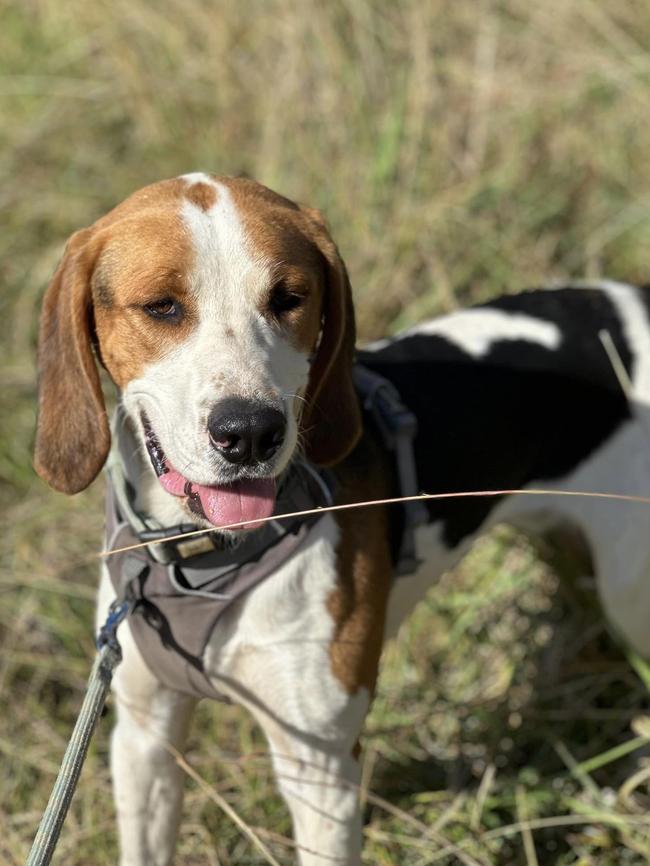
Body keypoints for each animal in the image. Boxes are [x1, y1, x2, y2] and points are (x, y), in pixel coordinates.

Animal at [35, 170, 650, 864]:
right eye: (162, 306)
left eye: (289, 297)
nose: (250, 433)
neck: (206, 558)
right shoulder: (144, 735)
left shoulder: (320, 767)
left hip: (633, 594)